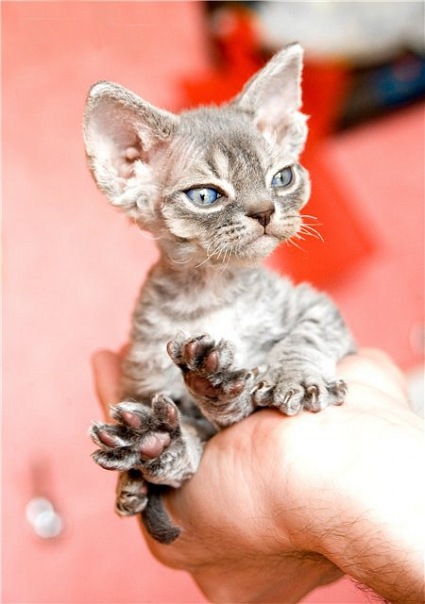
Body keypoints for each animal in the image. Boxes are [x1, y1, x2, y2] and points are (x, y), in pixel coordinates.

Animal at [85, 43, 355, 544]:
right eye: (207, 196)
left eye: (282, 178)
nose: (265, 211)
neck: (214, 292)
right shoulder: (150, 375)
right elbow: (203, 428)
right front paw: (160, 444)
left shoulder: (318, 307)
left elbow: (305, 336)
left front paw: (293, 376)